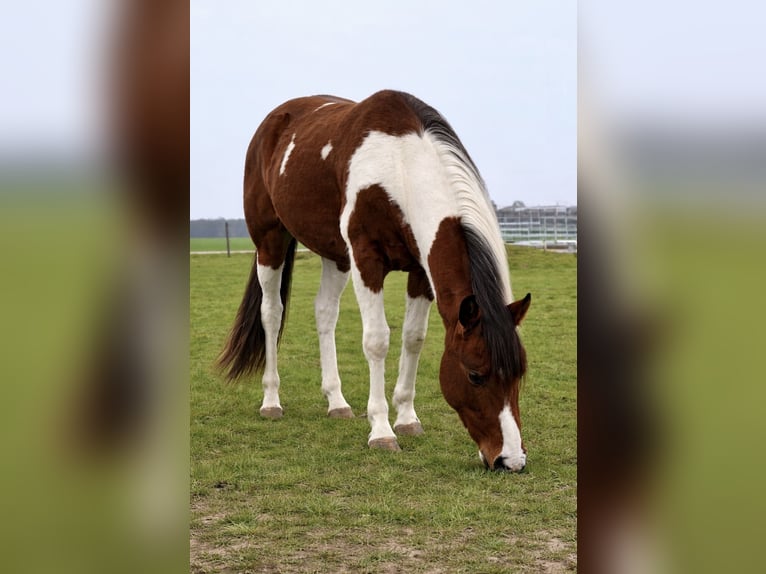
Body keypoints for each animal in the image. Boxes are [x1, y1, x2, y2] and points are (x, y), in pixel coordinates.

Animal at [218, 90, 531, 471]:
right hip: (270, 241)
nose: (510, 460)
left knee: (325, 313)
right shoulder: (367, 260)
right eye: (475, 374)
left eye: (519, 373)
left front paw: (407, 418)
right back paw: (271, 400)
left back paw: (337, 401)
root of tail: (275, 120)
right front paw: (382, 430)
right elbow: (377, 341)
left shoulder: (420, 271)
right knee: (272, 313)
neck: (399, 166)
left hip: (335, 256)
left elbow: (414, 338)